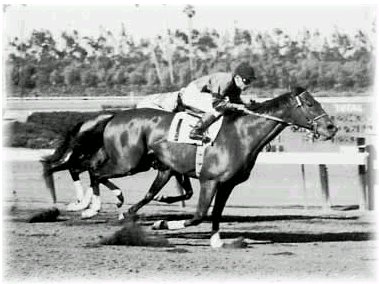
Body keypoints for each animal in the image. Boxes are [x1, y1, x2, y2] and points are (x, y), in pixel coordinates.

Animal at [69, 86, 338, 246]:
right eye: (310, 104)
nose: (332, 128)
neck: (241, 135)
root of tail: (115, 115)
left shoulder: (227, 184)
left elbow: (216, 213)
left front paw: (217, 240)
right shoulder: (210, 180)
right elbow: (199, 216)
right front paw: (161, 223)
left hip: (153, 166)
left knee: (140, 191)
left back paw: (121, 210)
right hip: (129, 162)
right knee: (94, 170)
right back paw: (91, 206)